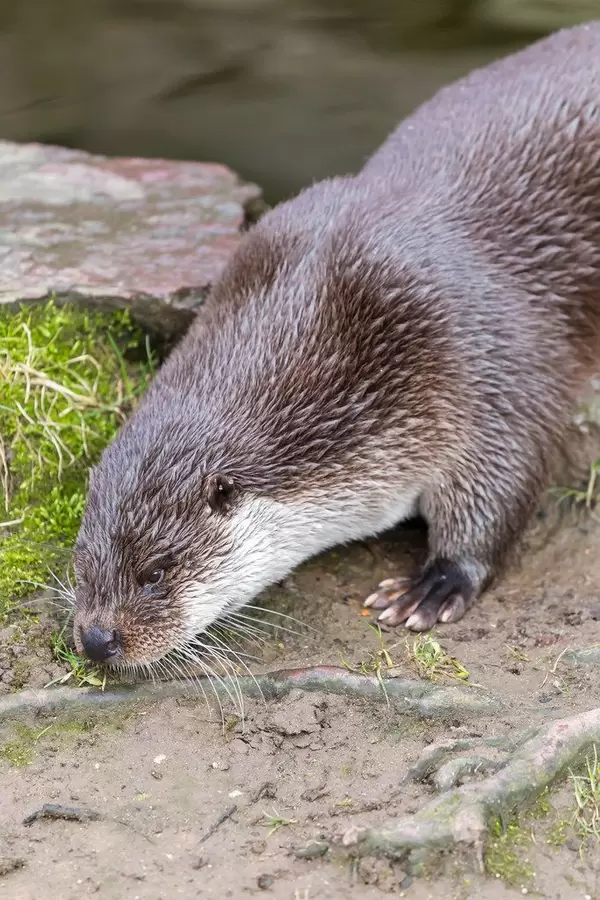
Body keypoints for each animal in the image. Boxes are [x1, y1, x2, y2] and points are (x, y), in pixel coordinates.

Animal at [73, 22, 600, 667]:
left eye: (157, 571)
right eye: (81, 559)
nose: (97, 639)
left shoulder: (479, 350)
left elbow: (507, 472)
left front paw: (437, 583)